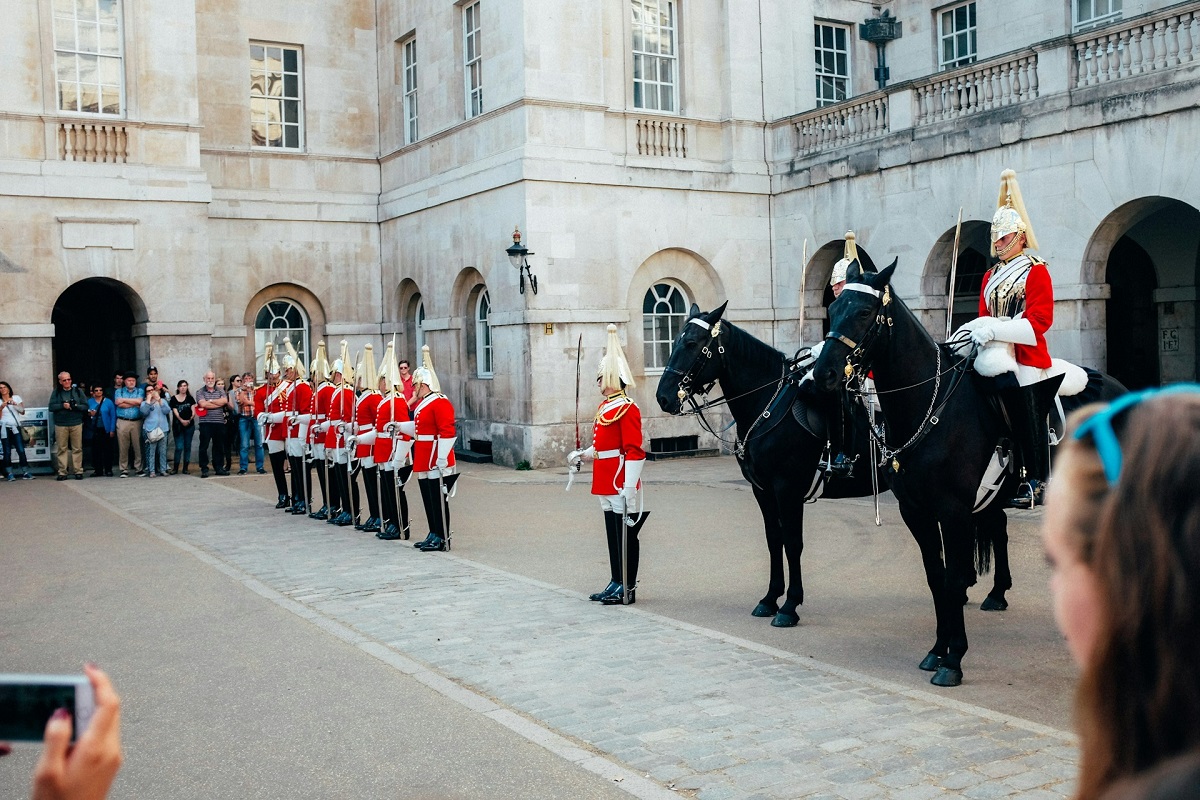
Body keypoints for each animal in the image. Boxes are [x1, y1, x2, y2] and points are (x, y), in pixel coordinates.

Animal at [657, 302, 1012, 633]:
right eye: (674, 340)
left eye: (692, 343)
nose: (662, 397)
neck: (767, 405)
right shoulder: (763, 491)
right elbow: (774, 541)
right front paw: (769, 599)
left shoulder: (787, 490)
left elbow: (792, 543)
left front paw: (789, 606)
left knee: (997, 524)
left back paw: (996, 593)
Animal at [811, 260, 1118, 686]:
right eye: (833, 307)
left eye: (863, 312)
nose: (822, 374)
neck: (931, 404)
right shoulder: (917, 511)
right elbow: (936, 577)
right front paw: (937, 650)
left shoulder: (954, 511)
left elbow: (954, 578)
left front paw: (953, 660)